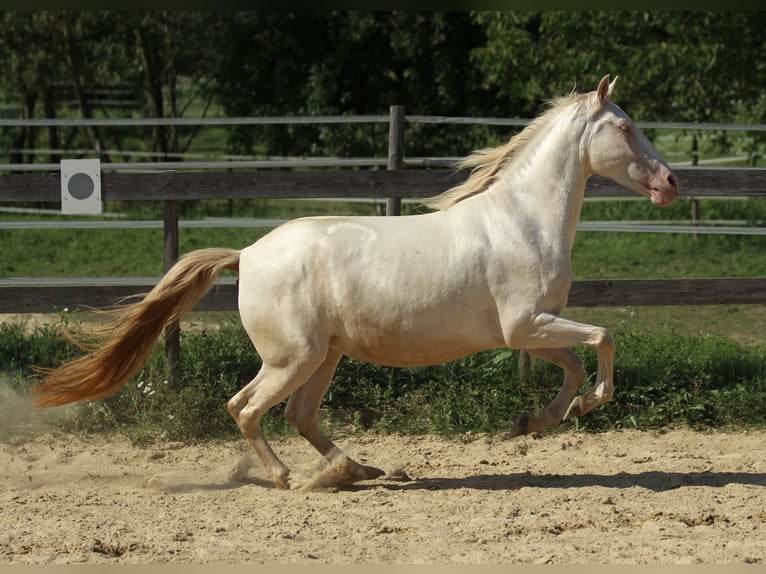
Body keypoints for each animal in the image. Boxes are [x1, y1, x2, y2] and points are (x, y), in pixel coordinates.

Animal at [36, 75, 680, 490]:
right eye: (625, 127)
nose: (672, 183)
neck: (523, 219)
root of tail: (247, 254)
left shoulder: (531, 332)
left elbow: (574, 363)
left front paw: (538, 420)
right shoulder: (526, 326)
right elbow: (601, 341)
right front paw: (583, 406)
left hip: (325, 356)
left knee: (299, 416)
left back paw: (356, 469)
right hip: (292, 357)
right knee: (246, 408)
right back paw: (289, 477)